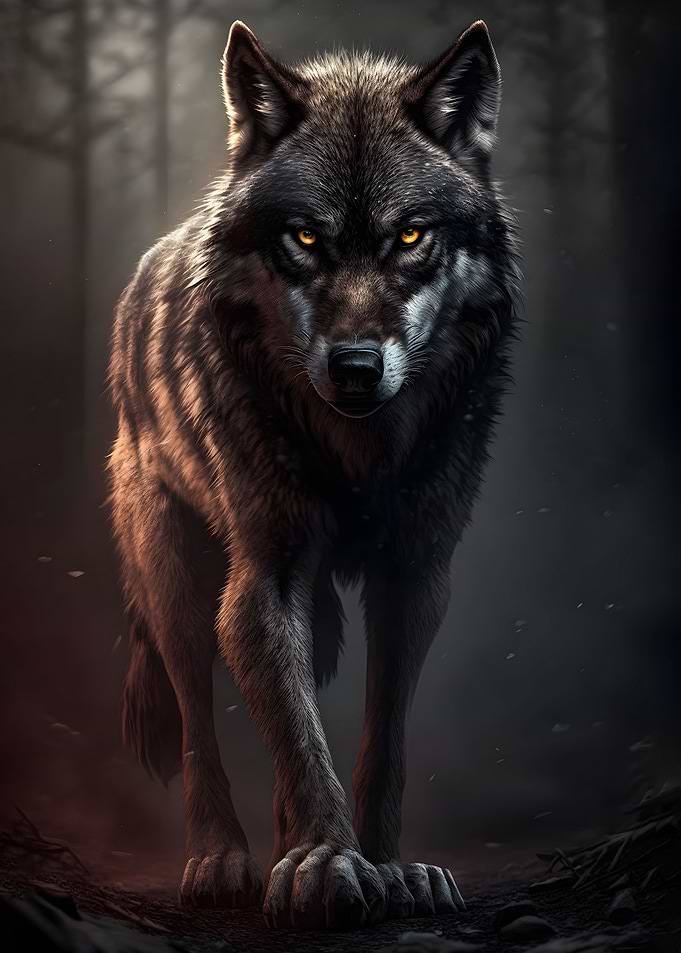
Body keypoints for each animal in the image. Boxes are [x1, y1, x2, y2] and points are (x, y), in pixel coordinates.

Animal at [108, 17, 520, 930]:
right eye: (304, 237)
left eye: (410, 236)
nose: (356, 367)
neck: (358, 456)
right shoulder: (264, 577)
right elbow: (300, 737)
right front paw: (329, 863)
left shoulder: (416, 577)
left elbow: (378, 740)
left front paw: (386, 866)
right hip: (175, 577)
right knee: (197, 721)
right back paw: (222, 858)